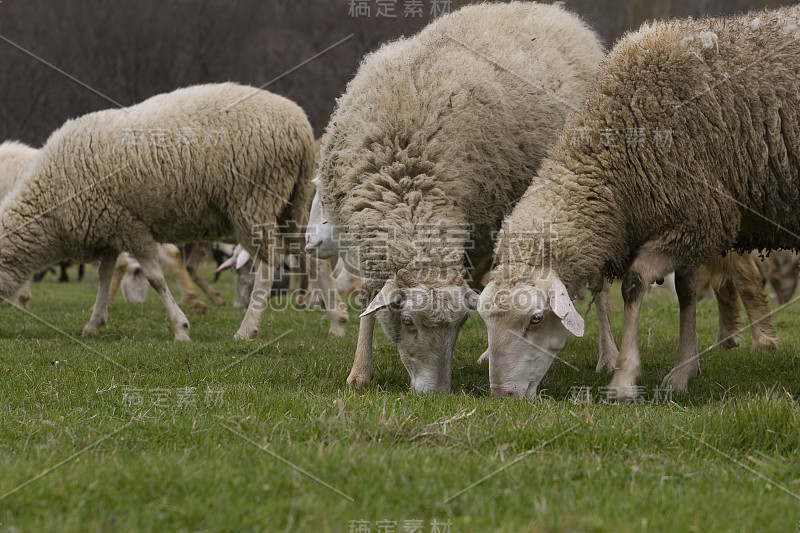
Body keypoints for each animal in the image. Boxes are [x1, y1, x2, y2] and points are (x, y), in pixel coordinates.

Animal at [0, 83, 316, 340]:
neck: (49, 203)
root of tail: (301, 125)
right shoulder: (108, 227)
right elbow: (105, 276)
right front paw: (94, 323)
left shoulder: (130, 226)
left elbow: (155, 278)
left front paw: (181, 329)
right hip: (293, 203)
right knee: (307, 252)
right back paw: (322, 312)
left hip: (254, 202)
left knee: (269, 264)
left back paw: (247, 328)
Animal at [316, 2, 604, 392]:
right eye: (407, 320)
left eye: (459, 325)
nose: (436, 394)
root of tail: (553, 12)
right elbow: (368, 300)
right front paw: (360, 371)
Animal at [478, 5, 800, 400]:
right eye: (485, 321)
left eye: (535, 319)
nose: (502, 394)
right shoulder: (685, 223)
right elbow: (687, 291)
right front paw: (684, 371)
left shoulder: (700, 219)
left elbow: (634, 283)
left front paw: (624, 378)